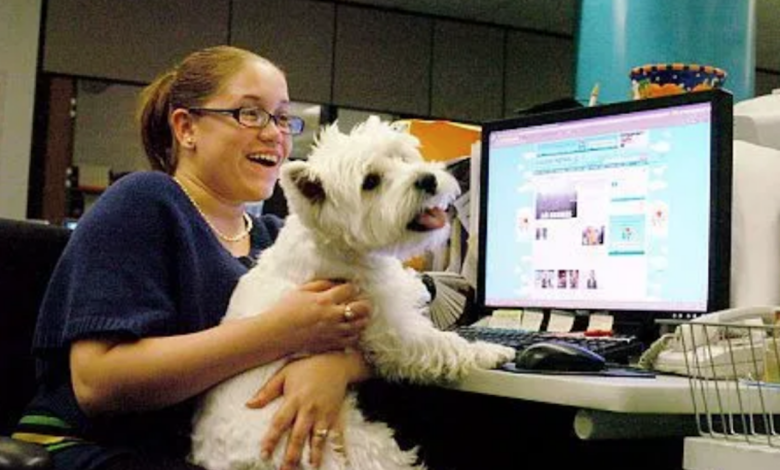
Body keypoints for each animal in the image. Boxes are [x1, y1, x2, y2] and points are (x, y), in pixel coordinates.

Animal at [190, 114, 516, 470]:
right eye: (371, 181)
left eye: (402, 157)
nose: (428, 179)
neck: (338, 245)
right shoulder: (390, 328)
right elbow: (443, 343)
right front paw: (491, 351)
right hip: (353, 446)